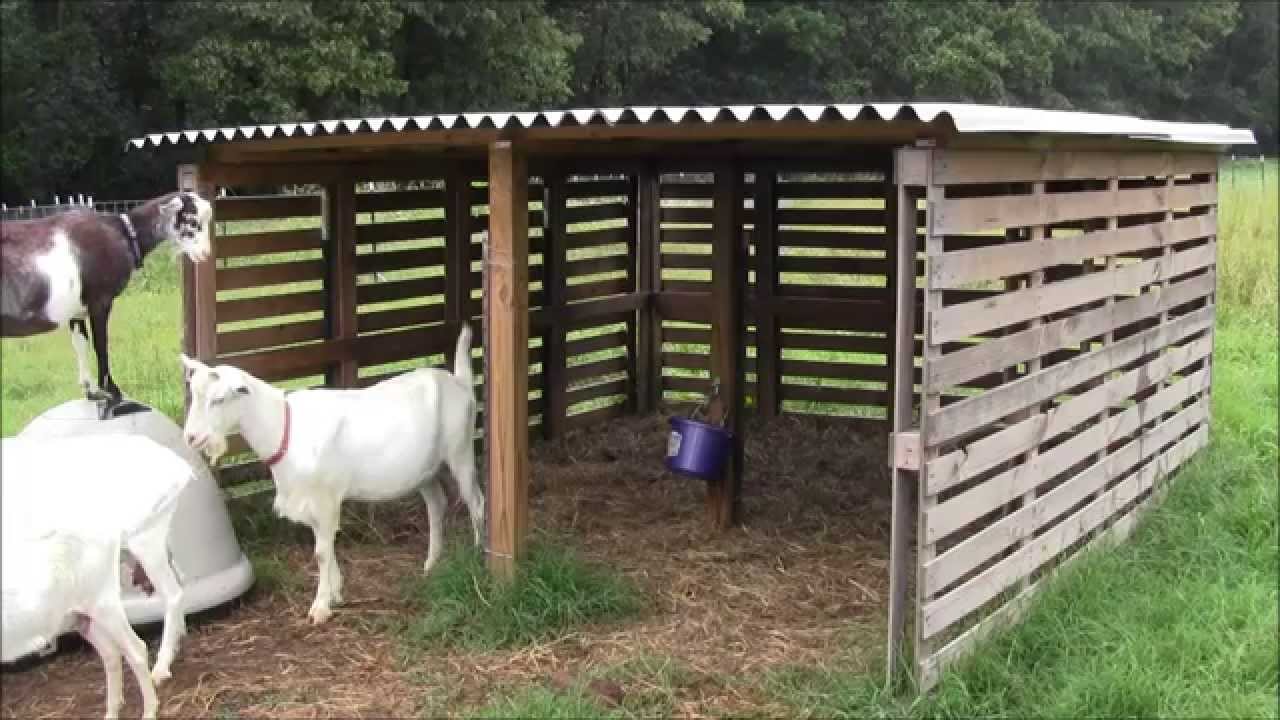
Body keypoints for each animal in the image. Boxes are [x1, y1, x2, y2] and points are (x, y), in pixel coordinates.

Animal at [1, 527, 160, 717]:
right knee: (110, 654)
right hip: (80, 617)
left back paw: (150, 711)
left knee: (136, 648)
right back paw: (111, 712)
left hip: (103, 602)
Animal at [179, 322, 481, 620]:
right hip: (424, 471)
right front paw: (335, 593)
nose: (191, 437)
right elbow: (324, 548)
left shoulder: (325, 499)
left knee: (476, 502)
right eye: (193, 395)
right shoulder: (312, 501)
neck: (284, 427)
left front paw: (320, 607)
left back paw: (478, 552)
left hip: (461, 451)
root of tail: (460, 382)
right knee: (437, 504)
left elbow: (321, 552)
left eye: (219, 399)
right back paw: (432, 563)